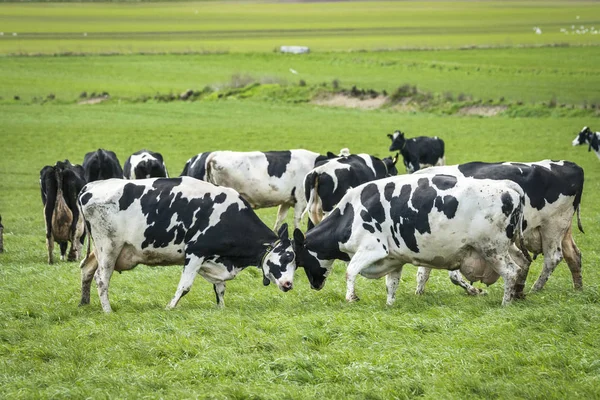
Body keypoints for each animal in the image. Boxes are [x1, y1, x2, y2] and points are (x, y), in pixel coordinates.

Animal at [77, 177, 298, 312]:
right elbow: (185, 287)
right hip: (109, 247)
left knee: (87, 270)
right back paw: (107, 311)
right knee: (101, 279)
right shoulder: (195, 252)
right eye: (287, 257)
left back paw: (84, 303)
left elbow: (220, 288)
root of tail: (91, 186)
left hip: (99, 250)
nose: (289, 284)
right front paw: (169, 307)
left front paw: (221, 308)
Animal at [292, 173, 528, 306]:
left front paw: (351, 298)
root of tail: (507, 186)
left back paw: (506, 303)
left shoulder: (372, 248)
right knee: (523, 263)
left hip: (492, 249)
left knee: (511, 272)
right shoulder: (394, 259)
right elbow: (392, 284)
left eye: (299, 260)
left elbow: (350, 271)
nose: (314, 285)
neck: (353, 211)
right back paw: (518, 294)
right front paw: (390, 304)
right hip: (507, 247)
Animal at [414, 161, 584, 296]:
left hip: (553, 227)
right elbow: (423, 273)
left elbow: (453, 276)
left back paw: (535, 289)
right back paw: (578, 289)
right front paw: (419, 294)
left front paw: (475, 291)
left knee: (552, 258)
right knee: (573, 255)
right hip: (563, 229)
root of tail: (572, 165)